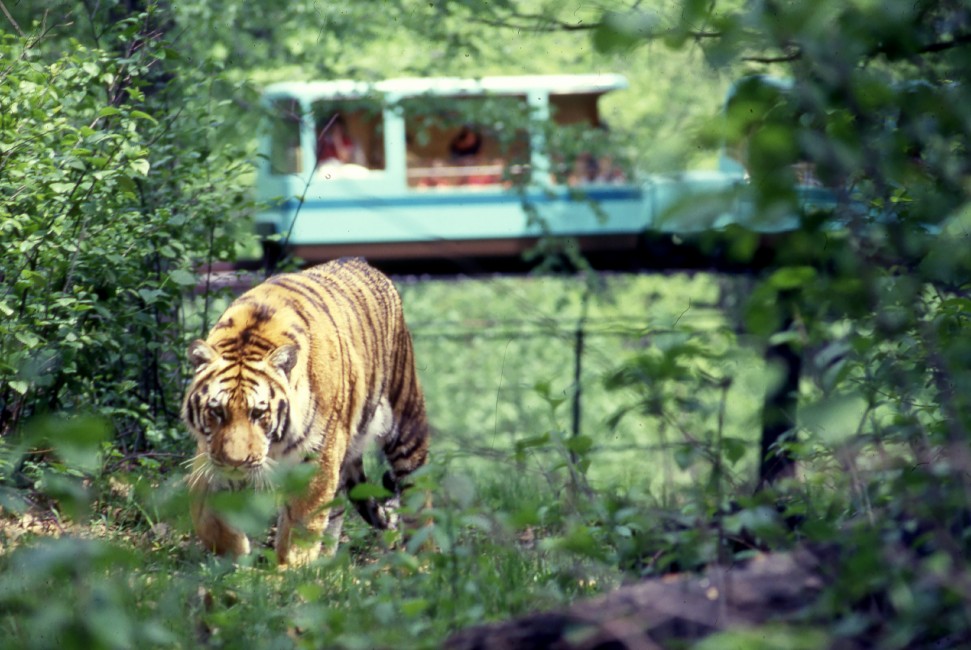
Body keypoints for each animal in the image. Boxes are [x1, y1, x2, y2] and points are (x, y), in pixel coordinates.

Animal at [181, 256, 430, 564]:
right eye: (217, 412)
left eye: (258, 414)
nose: (235, 463)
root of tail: (362, 262)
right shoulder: (208, 455)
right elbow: (202, 509)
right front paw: (236, 552)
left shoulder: (317, 458)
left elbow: (303, 522)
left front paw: (291, 568)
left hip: (406, 421)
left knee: (418, 494)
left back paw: (425, 560)